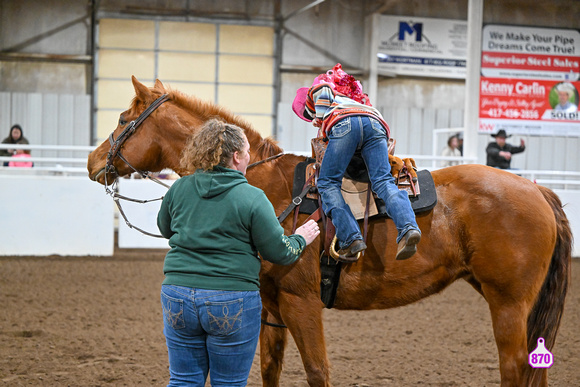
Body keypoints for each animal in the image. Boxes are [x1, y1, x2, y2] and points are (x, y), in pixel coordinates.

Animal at [88, 76, 572, 387]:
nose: (94, 162)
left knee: (515, 368)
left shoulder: (301, 302)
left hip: (508, 303)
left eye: (122, 118)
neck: (263, 184)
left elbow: (318, 371)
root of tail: (536, 189)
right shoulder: (270, 307)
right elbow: (270, 369)